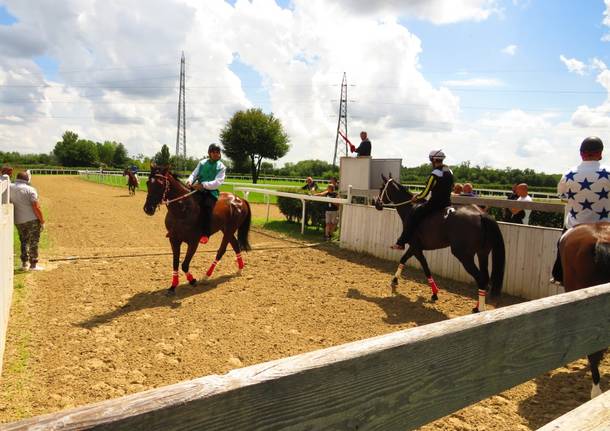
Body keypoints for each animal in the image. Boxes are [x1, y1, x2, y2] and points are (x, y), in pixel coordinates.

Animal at [142, 165, 249, 294]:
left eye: (161, 183)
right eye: (148, 183)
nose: (148, 208)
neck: (182, 210)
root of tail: (240, 199)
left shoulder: (193, 242)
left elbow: (184, 265)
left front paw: (192, 280)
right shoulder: (174, 240)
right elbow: (175, 263)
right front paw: (173, 286)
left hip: (229, 230)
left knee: (221, 251)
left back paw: (206, 276)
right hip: (226, 229)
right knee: (235, 245)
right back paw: (239, 269)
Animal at [376, 176, 504, 314]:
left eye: (381, 188)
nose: (376, 203)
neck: (411, 208)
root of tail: (481, 215)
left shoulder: (416, 248)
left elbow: (425, 268)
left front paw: (435, 293)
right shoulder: (414, 247)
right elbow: (403, 259)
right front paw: (395, 280)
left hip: (464, 256)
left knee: (480, 278)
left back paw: (480, 309)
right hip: (482, 253)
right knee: (484, 278)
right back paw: (477, 306)